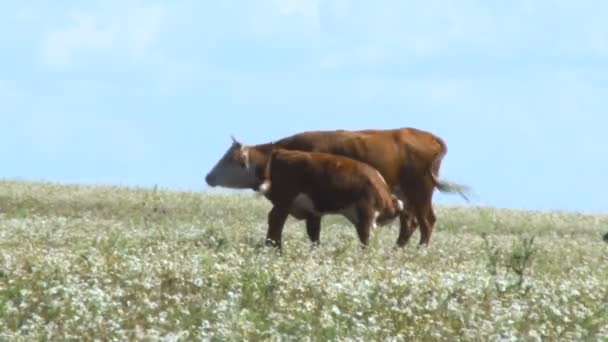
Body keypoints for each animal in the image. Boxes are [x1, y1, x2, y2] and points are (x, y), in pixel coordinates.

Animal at [255, 148, 404, 248]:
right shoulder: (365, 212)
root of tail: (281, 151)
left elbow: (314, 234)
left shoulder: (314, 213)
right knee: (276, 221)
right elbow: (365, 237)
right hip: (284, 202)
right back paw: (276, 249)